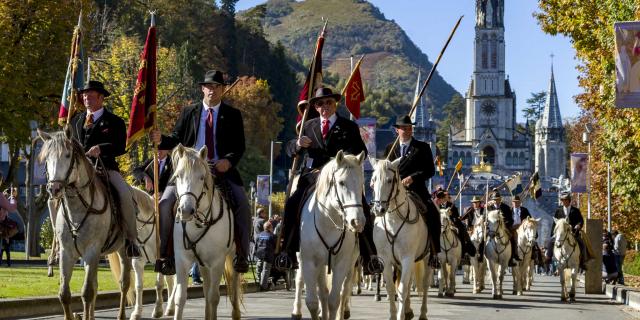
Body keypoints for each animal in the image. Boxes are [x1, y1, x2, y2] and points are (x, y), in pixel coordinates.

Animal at [38, 130, 131, 320]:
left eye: (67, 155)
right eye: (47, 158)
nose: (53, 189)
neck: (78, 208)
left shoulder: (92, 250)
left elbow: (87, 292)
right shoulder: (67, 252)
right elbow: (65, 294)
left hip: (123, 250)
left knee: (124, 283)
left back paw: (121, 315)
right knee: (96, 285)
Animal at [129, 186, 176, 318]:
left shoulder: (159, 260)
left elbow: (159, 285)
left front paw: (158, 309)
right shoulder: (137, 262)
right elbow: (138, 286)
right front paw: (136, 312)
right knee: (171, 282)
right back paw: (171, 308)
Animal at [171, 146, 241, 320]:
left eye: (201, 177)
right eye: (178, 175)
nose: (186, 211)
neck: (198, 223)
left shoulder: (217, 262)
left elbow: (214, 297)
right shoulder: (182, 260)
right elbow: (180, 297)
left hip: (233, 257)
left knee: (233, 289)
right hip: (203, 264)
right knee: (206, 290)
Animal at [296, 151, 364, 320]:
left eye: (361, 183)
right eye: (341, 183)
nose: (357, 222)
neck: (328, 221)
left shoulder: (342, 263)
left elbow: (334, 300)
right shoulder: (309, 262)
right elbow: (313, 302)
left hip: (350, 263)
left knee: (344, 291)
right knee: (319, 291)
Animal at [370, 160, 430, 320]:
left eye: (390, 180)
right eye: (373, 180)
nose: (378, 209)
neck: (393, 220)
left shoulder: (407, 257)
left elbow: (402, 288)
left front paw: (400, 315)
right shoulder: (385, 259)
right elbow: (391, 288)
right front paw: (394, 314)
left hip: (427, 257)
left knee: (424, 284)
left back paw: (422, 313)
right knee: (408, 284)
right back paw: (408, 310)